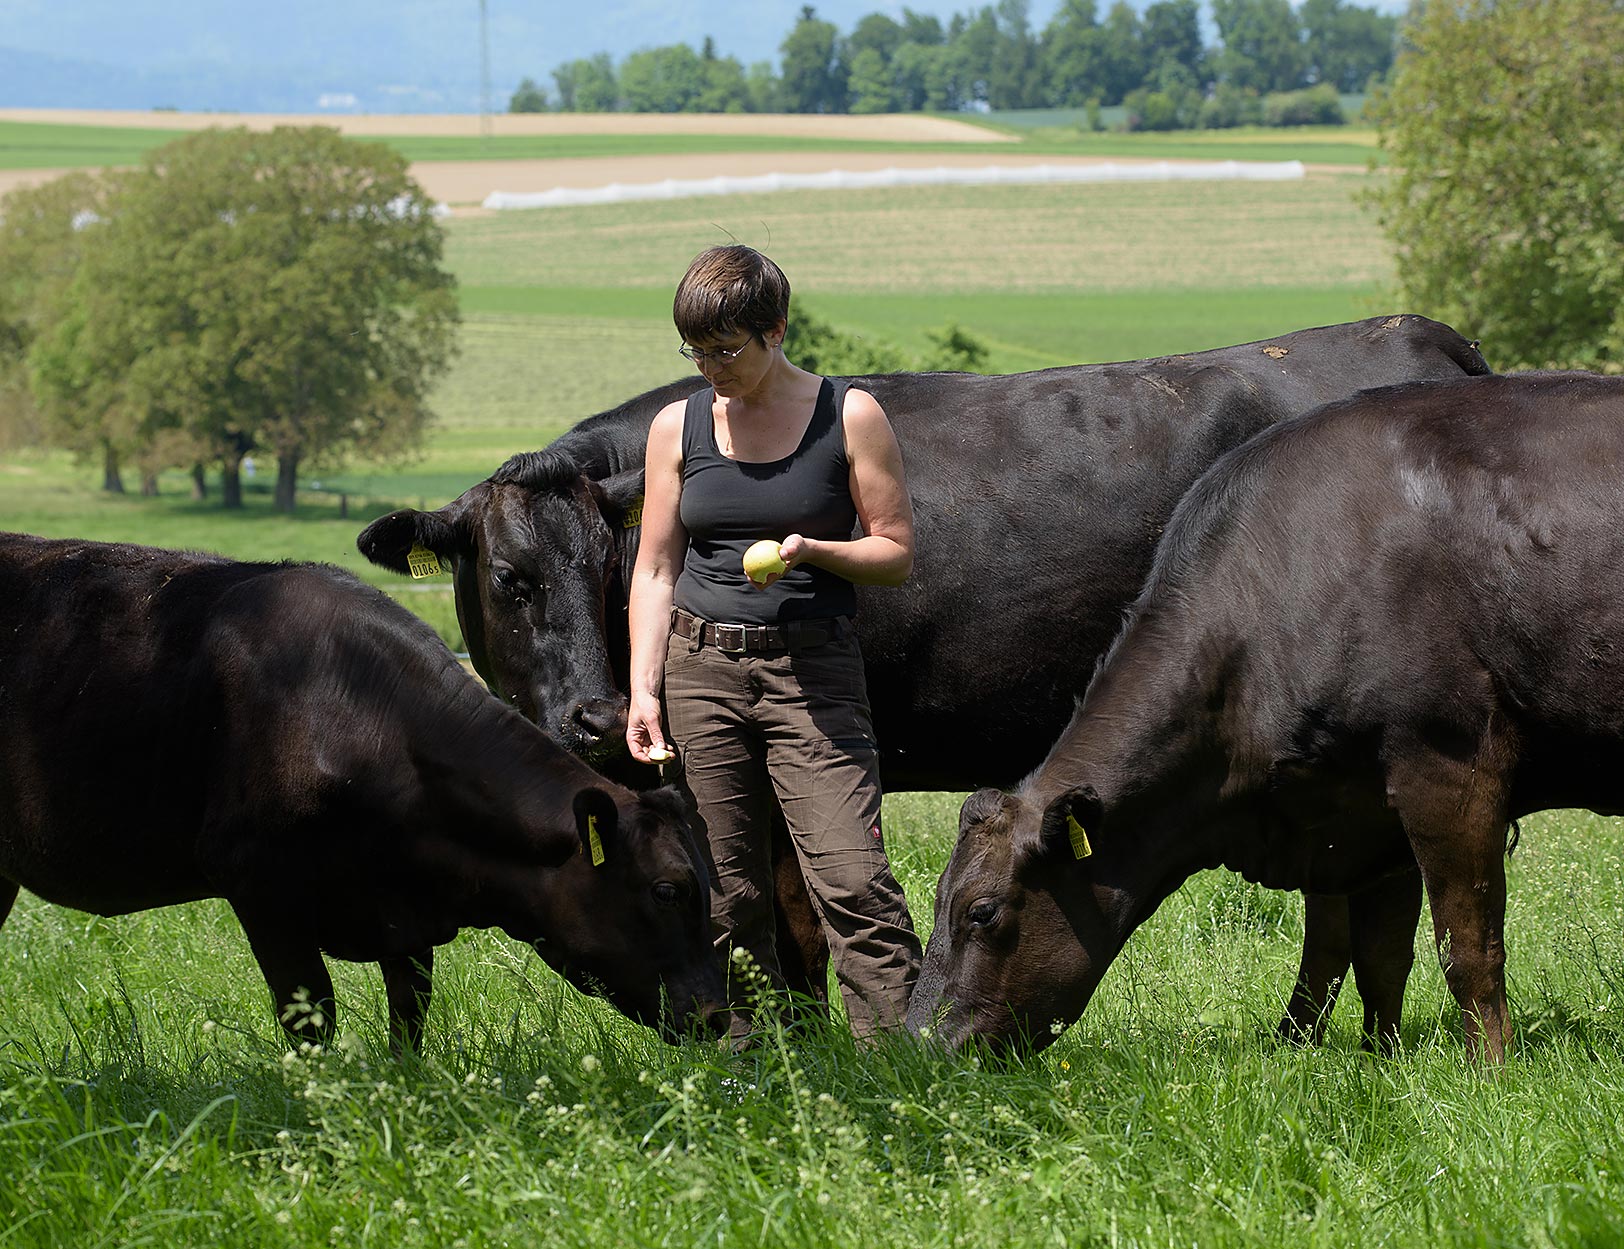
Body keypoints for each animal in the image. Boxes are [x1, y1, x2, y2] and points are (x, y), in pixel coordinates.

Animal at [0, 532, 724, 1045]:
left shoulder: (409, 913)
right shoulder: (257, 884)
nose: (721, 1015)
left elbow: (409, 1017)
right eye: (667, 890)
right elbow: (312, 1020)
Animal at [909, 373, 1624, 1065]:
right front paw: (1358, 1058)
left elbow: (1467, 948)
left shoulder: (1447, 765)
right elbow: (1365, 955)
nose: (919, 1046)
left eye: (981, 912)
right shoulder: (1354, 815)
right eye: (937, 900)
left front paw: (1489, 1074)